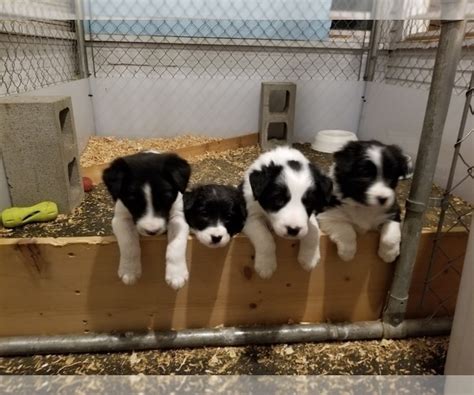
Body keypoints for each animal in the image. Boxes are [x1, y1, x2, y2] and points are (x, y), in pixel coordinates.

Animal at [103, 153, 191, 290]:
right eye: (132, 200)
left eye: (166, 198)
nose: (152, 231)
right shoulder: (120, 219)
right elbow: (128, 243)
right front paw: (129, 271)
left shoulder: (178, 217)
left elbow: (176, 244)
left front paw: (177, 274)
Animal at [243, 147, 332, 280]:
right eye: (278, 200)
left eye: (309, 202)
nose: (293, 230)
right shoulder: (251, 216)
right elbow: (264, 238)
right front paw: (265, 266)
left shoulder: (311, 216)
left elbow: (313, 231)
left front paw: (309, 259)